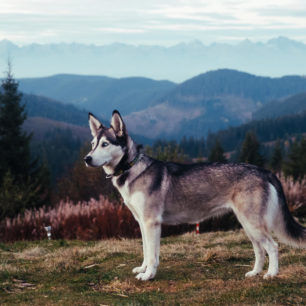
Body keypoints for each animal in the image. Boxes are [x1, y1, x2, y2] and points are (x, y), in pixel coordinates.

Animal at [84, 111, 306, 280]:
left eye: (105, 144)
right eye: (93, 143)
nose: (87, 159)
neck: (132, 168)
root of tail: (263, 170)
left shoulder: (151, 223)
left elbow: (153, 256)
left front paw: (148, 276)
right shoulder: (142, 223)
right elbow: (147, 252)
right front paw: (143, 269)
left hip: (253, 224)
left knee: (273, 246)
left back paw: (271, 274)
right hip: (248, 225)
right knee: (260, 250)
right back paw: (254, 273)